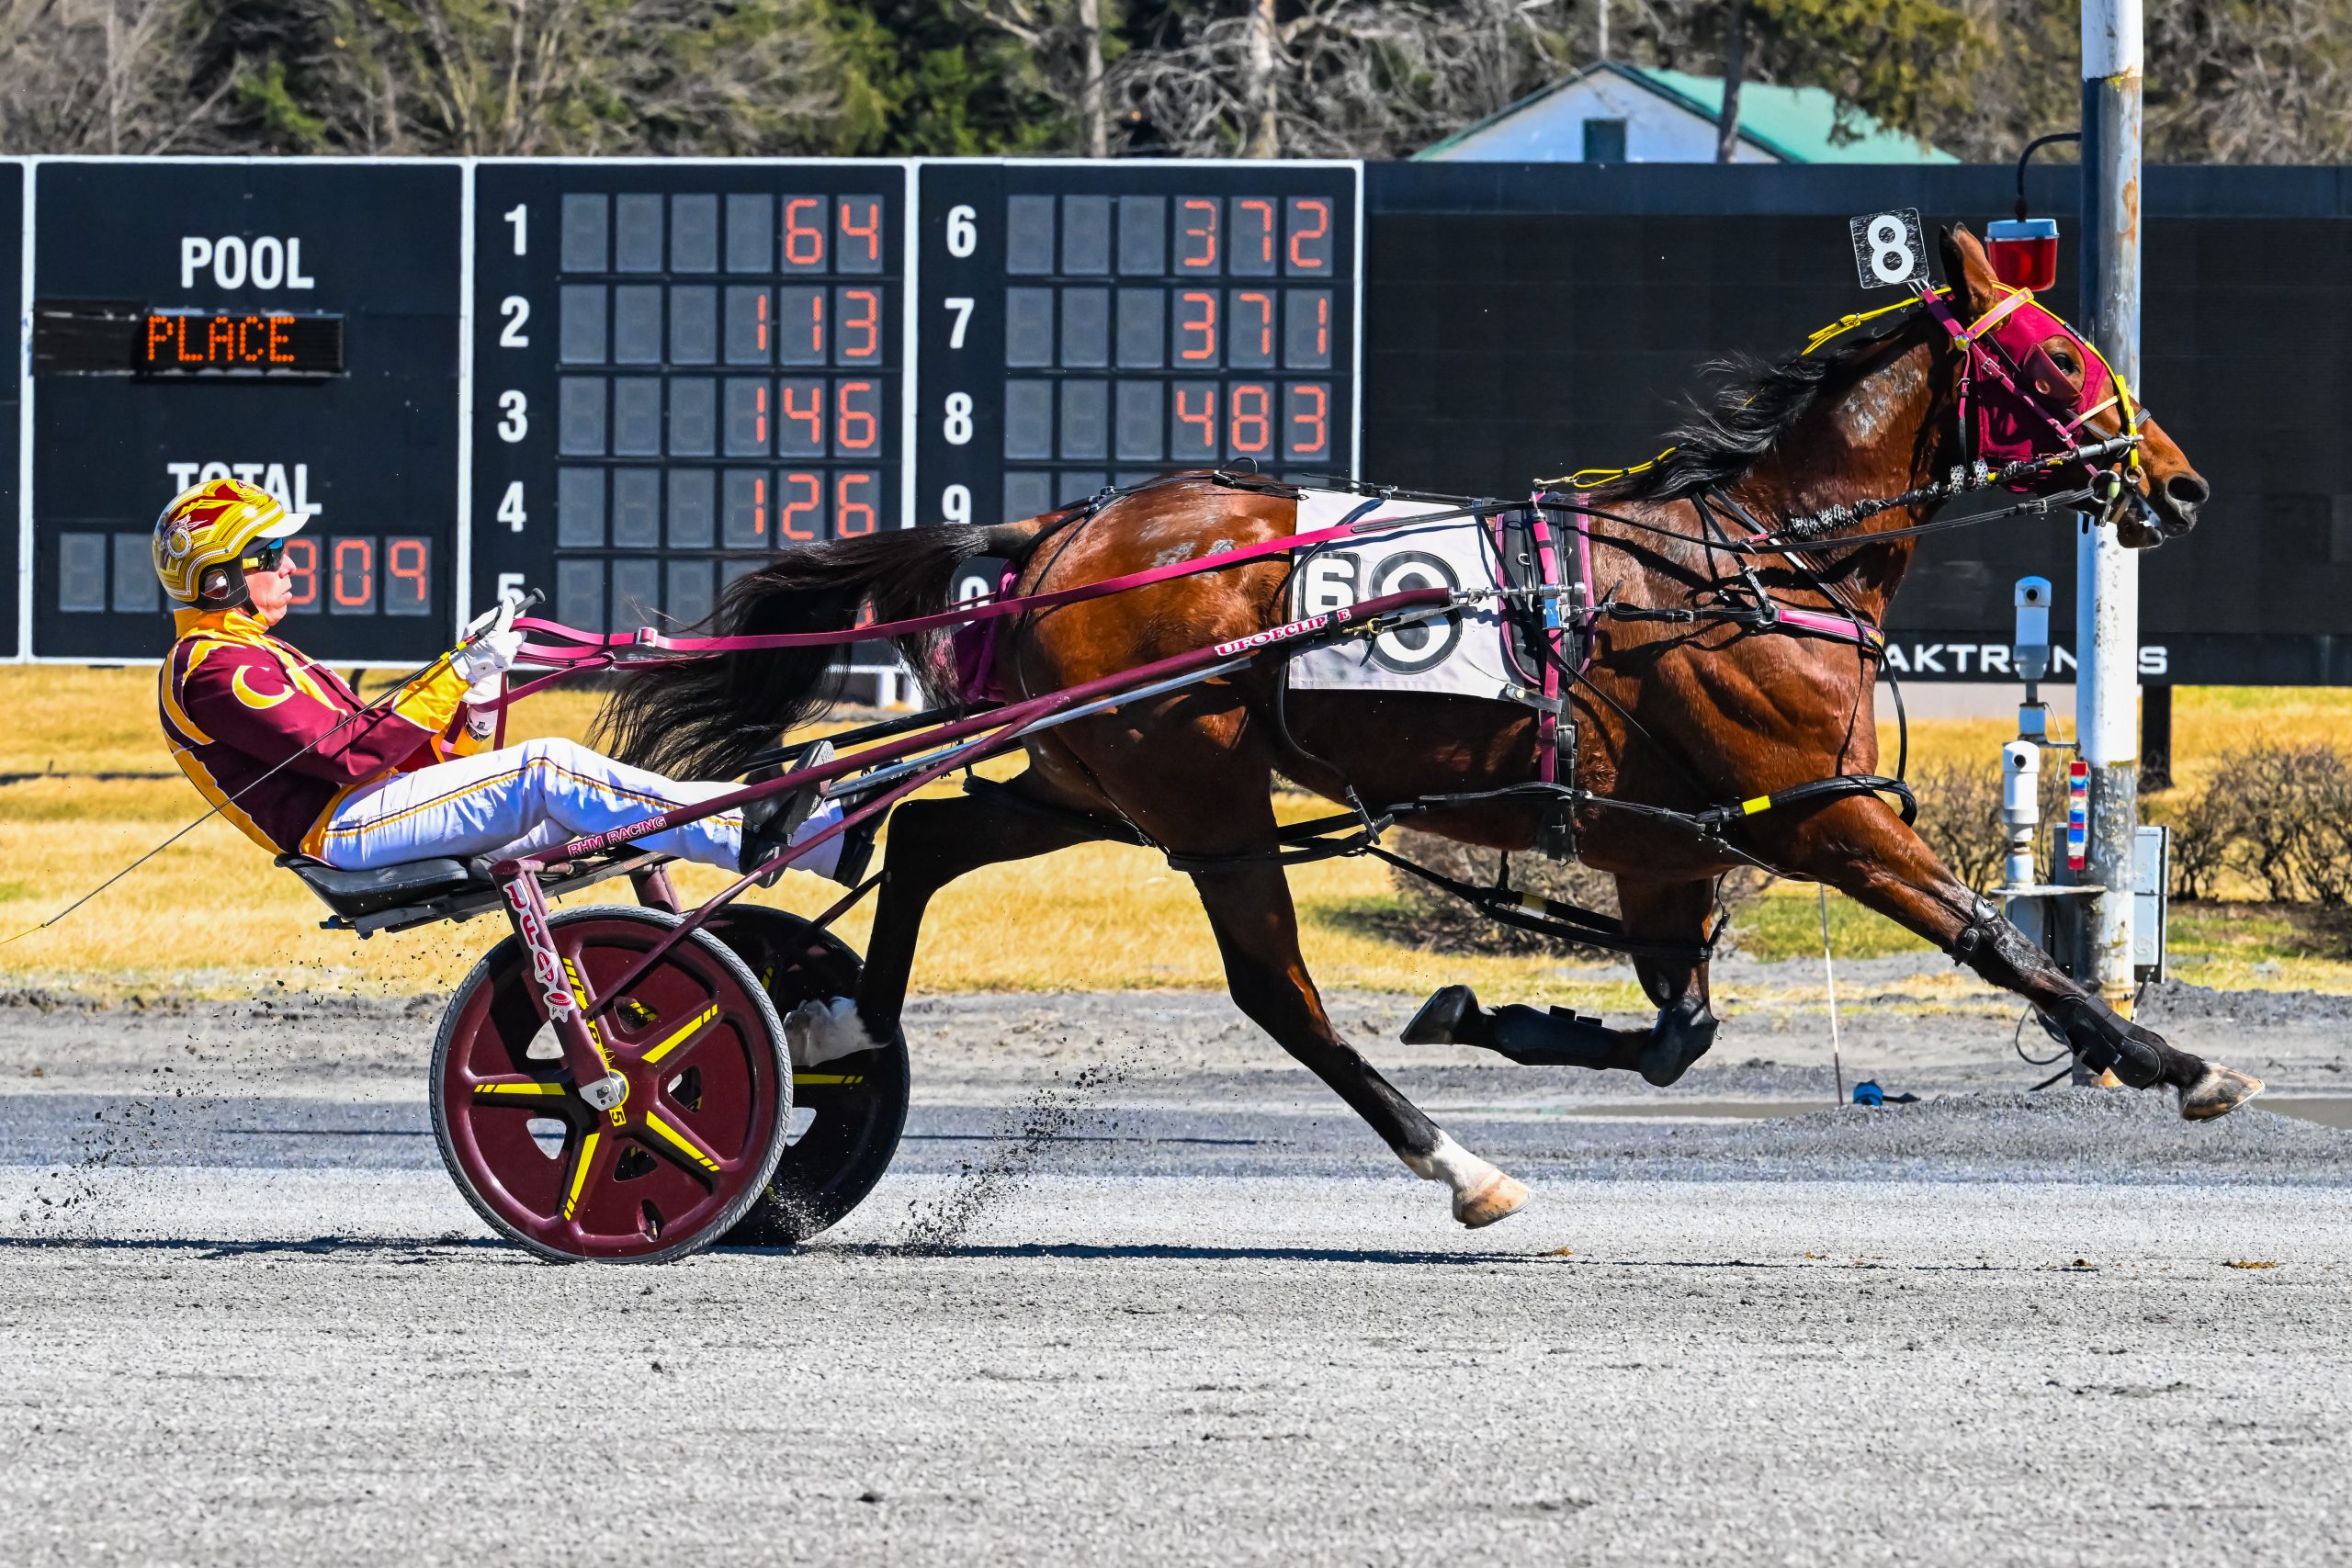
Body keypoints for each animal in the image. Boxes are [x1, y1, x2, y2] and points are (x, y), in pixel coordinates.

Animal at [596, 225, 2257, 1230]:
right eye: (2063, 362)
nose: (2178, 484)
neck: (1758, 558)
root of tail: (1066, 531)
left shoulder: (1666, 846)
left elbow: (1681, 1033)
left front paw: (1492, 1012)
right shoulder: (1820, 807)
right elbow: (1995, 938)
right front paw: (2173, 1060)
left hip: (1095, 777)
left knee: (938, 833)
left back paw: (833, 1046)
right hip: (1201, 796)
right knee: (1275, 992)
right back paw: (1457, 1165)